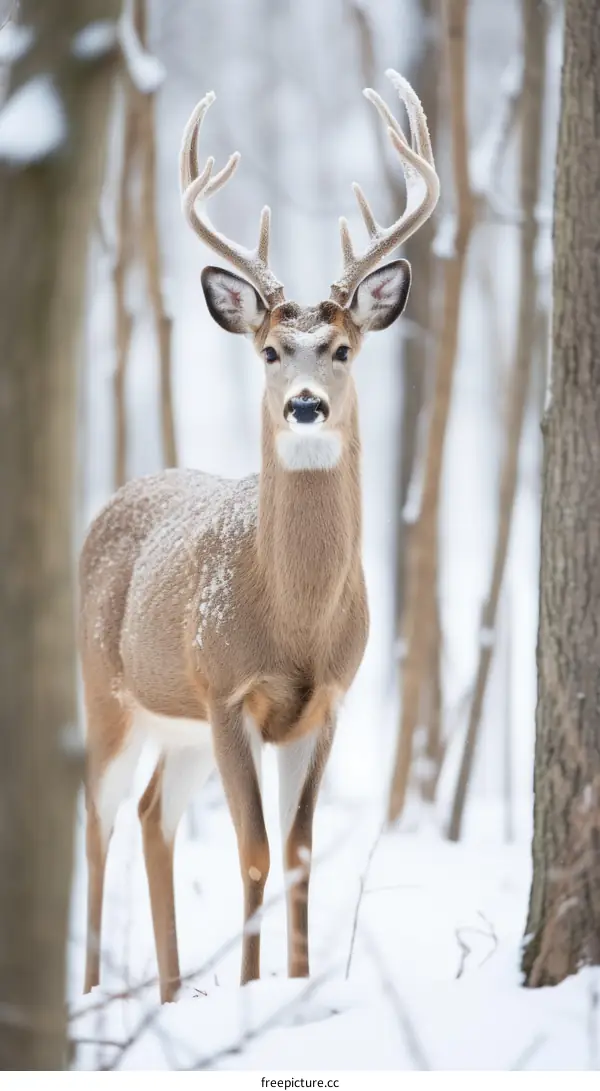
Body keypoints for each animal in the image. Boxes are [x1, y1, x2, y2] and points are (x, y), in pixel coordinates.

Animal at [79, 68, 439, 1004]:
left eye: (342, 348)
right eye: (272, 350)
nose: (305, 406)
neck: (294, 620)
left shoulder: (327, 699)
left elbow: (301, 853)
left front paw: (301, 985)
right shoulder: (228, 687)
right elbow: (252, 852)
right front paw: (249, 991)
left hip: (177, 722)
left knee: (152, 814)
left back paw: (171, 990)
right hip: (109, 690)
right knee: (98, 817)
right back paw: (91, 990)